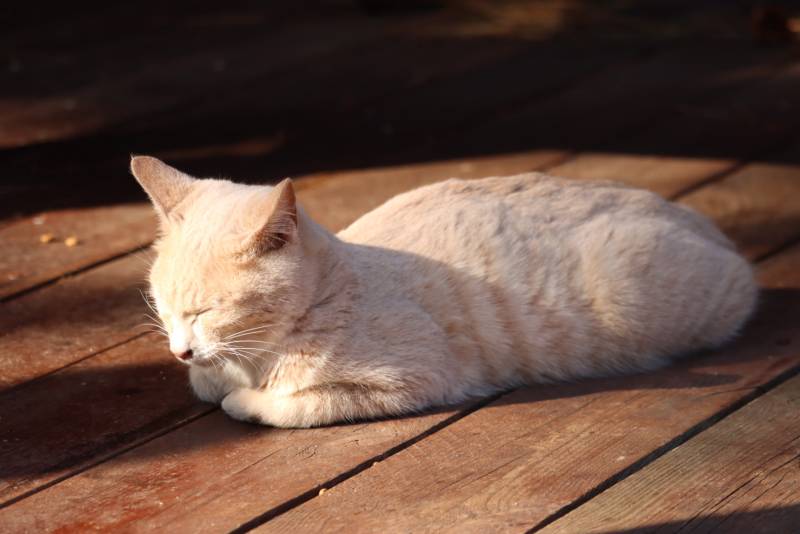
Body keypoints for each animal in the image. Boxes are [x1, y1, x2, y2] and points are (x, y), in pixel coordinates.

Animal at [130, 157, 756, 430]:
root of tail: (692, 218)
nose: (179, 349)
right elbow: (208, 381)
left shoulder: (410, 382)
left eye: (205, 311)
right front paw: (209, 376)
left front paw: (242, 398)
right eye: (163, 307)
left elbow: (292, 404)